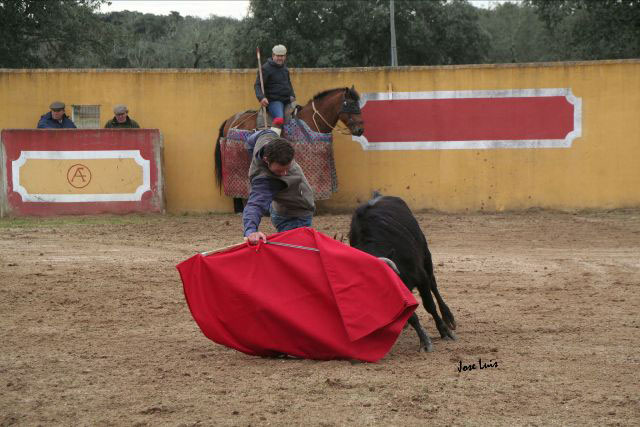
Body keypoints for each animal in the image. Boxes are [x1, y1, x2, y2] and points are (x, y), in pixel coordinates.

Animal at [348, 196, 458, 352]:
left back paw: (448, 317)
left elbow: (429, 305)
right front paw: (424, 341)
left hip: (426, 256)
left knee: (433, 285)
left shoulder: (421, 277)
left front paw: (444, 332)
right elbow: (411, 315)